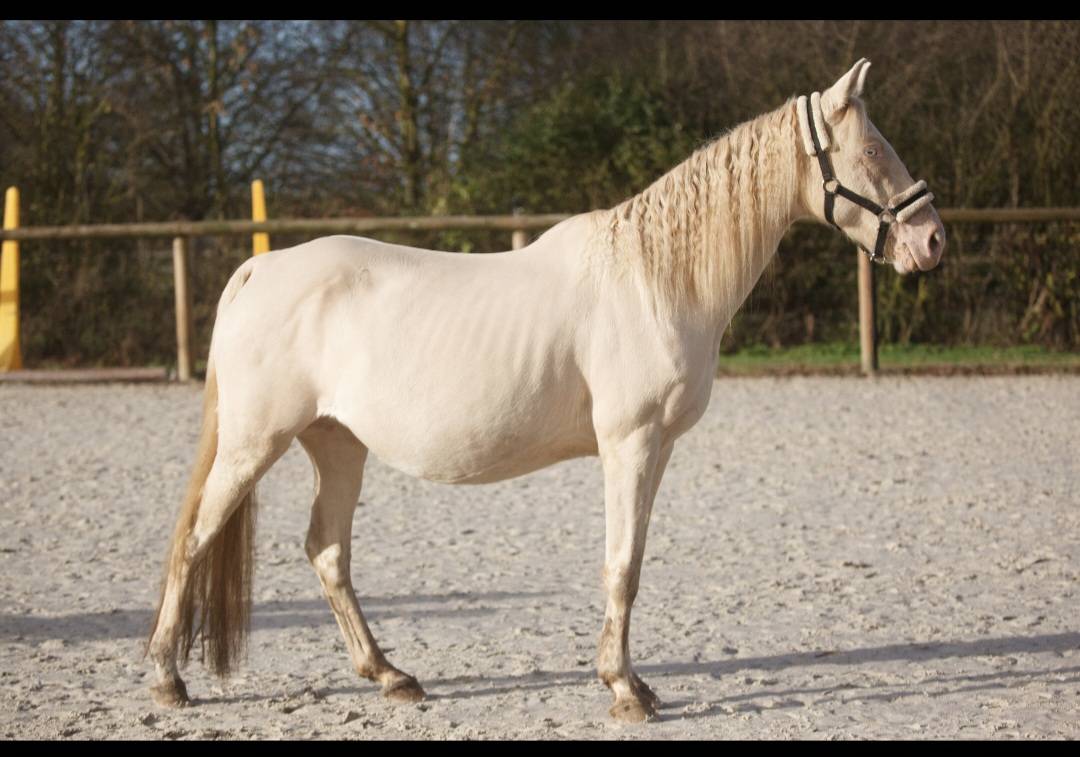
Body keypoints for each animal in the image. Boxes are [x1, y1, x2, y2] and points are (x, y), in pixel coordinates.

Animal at [146, 59, 945, 723]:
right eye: (873, 151)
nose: (932, 240)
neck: (654, 278)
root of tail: (261, 269)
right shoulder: (629, 442)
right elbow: (621, 565)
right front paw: (625, 690)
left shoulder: (655, 450)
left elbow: (634, 559)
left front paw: (633, 679)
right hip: (255, 443)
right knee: (196, 539)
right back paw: (167, 678)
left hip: (336, 443)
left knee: (327, 551)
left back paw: (390, 675)